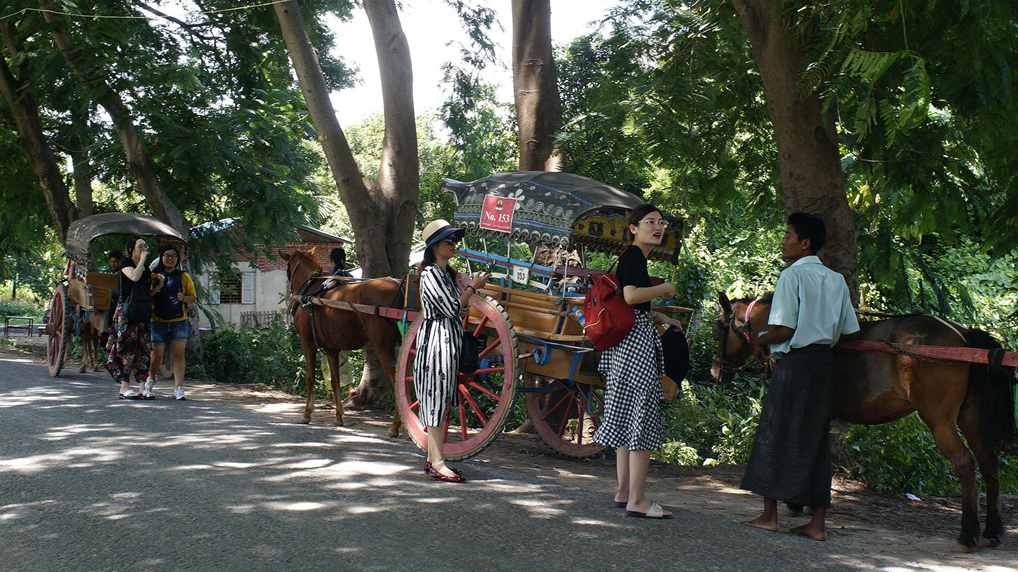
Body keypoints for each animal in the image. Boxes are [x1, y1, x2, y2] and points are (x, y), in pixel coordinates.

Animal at [283, 250, 405, 435]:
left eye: (288, 268)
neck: (311, 289)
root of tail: (398, 284)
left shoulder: (307, 343)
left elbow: (310, 378)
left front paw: (306, 414)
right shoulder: (331, 349)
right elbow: (335, 381)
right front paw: (339, 417)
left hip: (383, 346)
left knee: (398, 380)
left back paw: (395, 426)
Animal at [716, 291, 1018, 545]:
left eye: (719, 327)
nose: (717, 370)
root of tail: (962, 334)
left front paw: (795, 502)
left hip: (940, 421)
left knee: (965, 463)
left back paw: (968, 532)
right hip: (971, 420)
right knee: (989, 464)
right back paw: (992, 529)